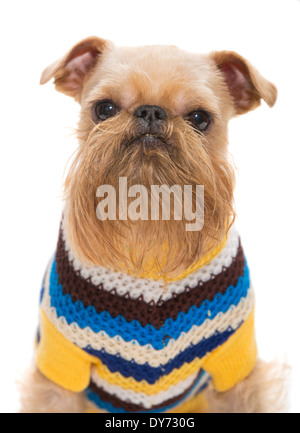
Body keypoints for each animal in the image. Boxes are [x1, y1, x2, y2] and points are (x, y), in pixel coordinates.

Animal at [19, 37, 288, 412]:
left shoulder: (234, 366)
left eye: (199, 118)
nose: (150, 111)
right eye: (104, 109)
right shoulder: (62, 364)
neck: (149, 218)